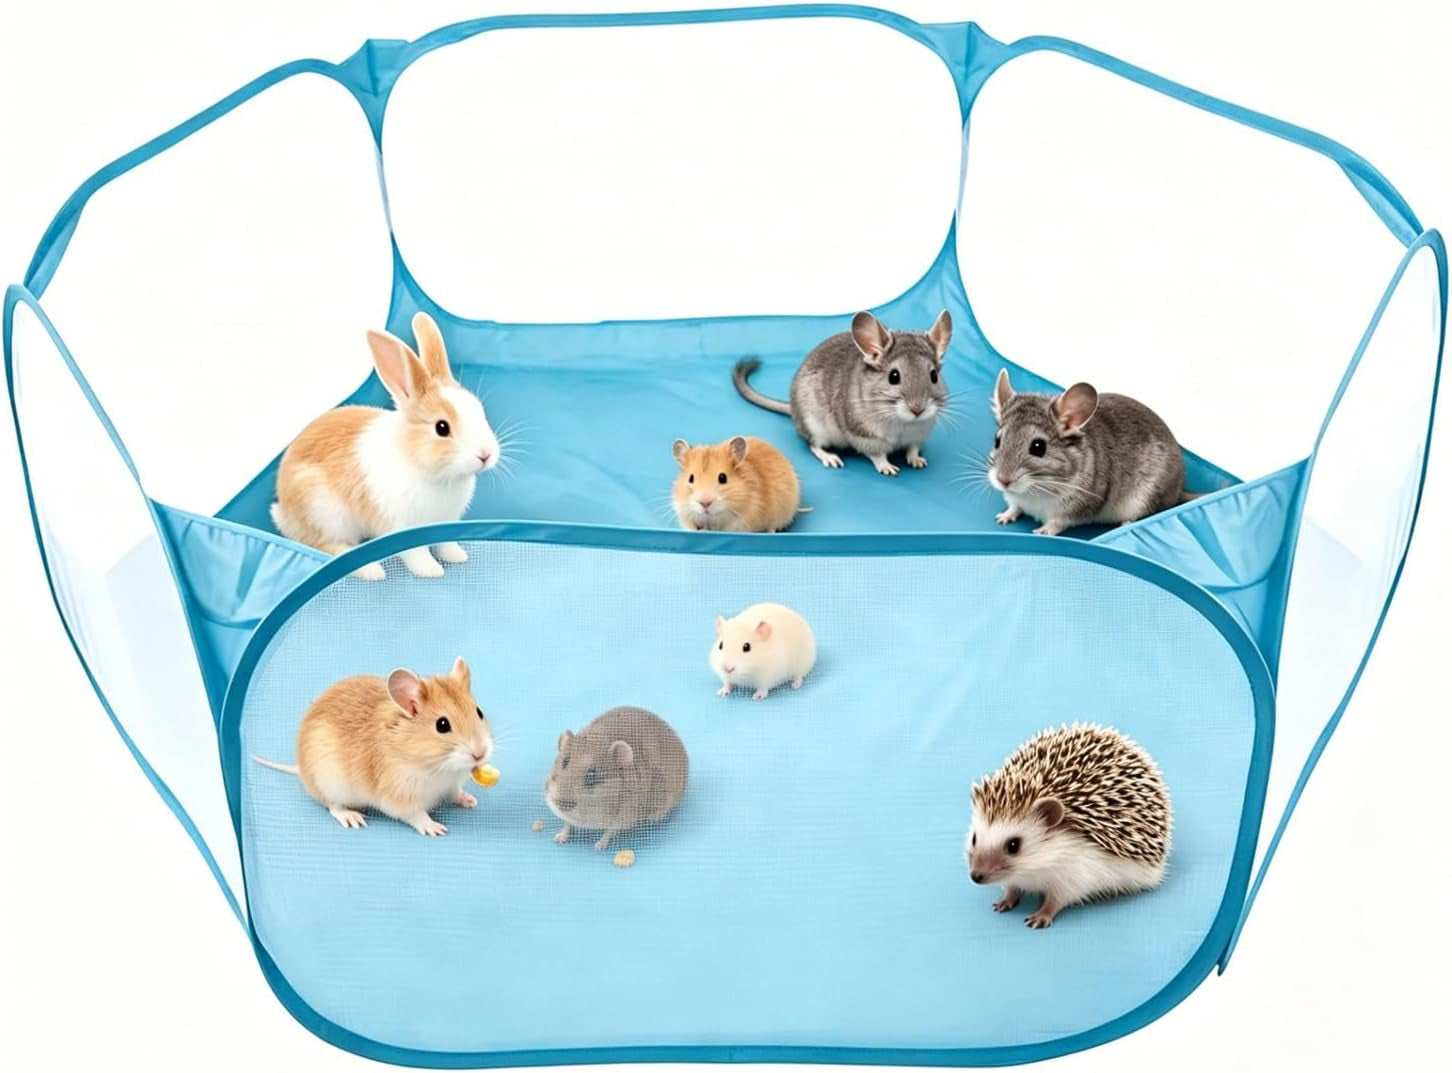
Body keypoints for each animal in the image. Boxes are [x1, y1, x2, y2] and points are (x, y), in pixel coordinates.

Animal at [253, 658, 493, 836]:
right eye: (442, 725)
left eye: (479, 712)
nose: (480, 754)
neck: (439, 767)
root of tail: (301, 770)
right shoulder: (398, 797)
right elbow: (417, 815)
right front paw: (436, 829)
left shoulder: (451, 784)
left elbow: (455, 793)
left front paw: (471, 801)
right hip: (331, 784)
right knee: (333, 806)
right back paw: (353, 818)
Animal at [271, 312, 501, 580]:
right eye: (442, 428)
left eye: (479, 411)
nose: (485, 455)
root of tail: (283, 512)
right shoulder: (400, 527)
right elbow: (416, 554)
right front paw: (432, 571)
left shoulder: (445, 522)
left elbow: (446, 544)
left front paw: (458, 557)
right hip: (323, 512)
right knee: (327, 546)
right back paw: (372, 570)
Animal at [544, 707, 688, 851]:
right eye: (565, 761)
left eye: (592, 775)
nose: (562, 804)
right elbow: (567, 824)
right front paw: (559, 837)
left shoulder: (623, 815)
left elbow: (609, 831)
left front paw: (599, 846)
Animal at [733, 310, 951, 476]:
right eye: (894, 376)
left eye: (934, 376)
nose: (918, 410)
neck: (903, 423)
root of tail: (792, 408)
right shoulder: (865, 436)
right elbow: (878, 455)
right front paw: (888, 468)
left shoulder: (920, 434)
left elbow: (913, 449)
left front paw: (917, 461)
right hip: (816, 427)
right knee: (813, 445)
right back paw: (830, 457)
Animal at [987, 369, 1191, 535]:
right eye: (997, 441)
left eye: (1038, 447)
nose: (1003, 480)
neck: (1036, 489)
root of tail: (1179, 490)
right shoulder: (1016, 500)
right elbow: (1015, 507)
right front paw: (1003, 517)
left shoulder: (1078, 508)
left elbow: (1057, 523)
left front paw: (1042, 531)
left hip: (1143, 500)